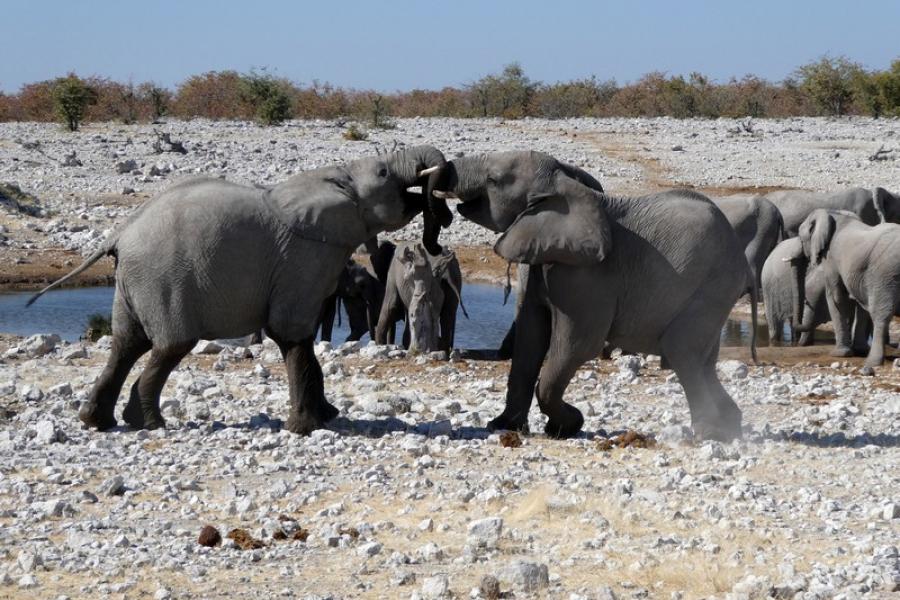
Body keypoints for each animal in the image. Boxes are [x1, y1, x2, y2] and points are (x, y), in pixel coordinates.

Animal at [26, 145, 448, 436]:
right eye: (384, 172)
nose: (440, 214)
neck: (337, 176)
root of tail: (119, 234)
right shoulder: (303, 257)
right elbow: (291, 334)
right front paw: (307, 428)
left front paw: (328, 417)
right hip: (162, 279)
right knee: (169, 346)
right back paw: (147, 422)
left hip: (133, 280)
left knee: (126, 344)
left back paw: (97, 421)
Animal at [422, 150, 752, 440]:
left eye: (493, 180)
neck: (559, 185)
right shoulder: (542, 259)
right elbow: (530, 339)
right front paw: (502, 427)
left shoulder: (587, 277)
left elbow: (576, 345)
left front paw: (566, 426)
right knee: (703, 359)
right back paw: (732, 427)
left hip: (714, 285)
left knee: (682, 350)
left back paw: (712, 434)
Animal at [792, 211, 896, 370]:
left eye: (801, 238)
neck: (834, 214)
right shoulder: (859, 273)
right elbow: (860, 304)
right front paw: (859, 350)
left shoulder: (831, 258)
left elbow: (836, 297)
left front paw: (839, 354)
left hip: (885, 276)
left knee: (881, 315)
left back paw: (872, 363)